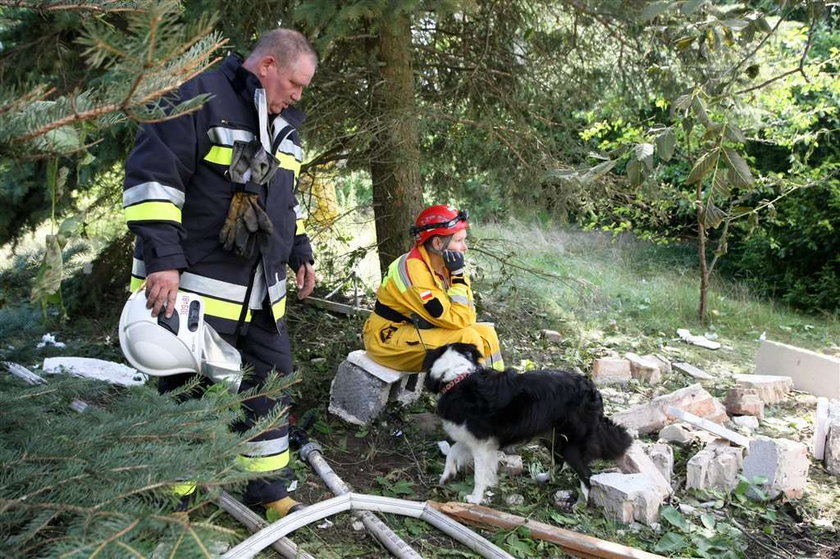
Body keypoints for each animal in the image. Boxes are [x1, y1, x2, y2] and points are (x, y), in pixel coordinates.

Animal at [424, 344, 632, 506]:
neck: (457, 377)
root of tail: (593, 390)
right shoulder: (471, 438)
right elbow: (452, 452)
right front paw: (447, 476)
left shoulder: (482, 444)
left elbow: (479, 475)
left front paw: (475, 499)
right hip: (552, 436)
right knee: (559, 461)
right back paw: (544, 478)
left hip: (571, 444)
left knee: (586, 474)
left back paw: (580, 503)